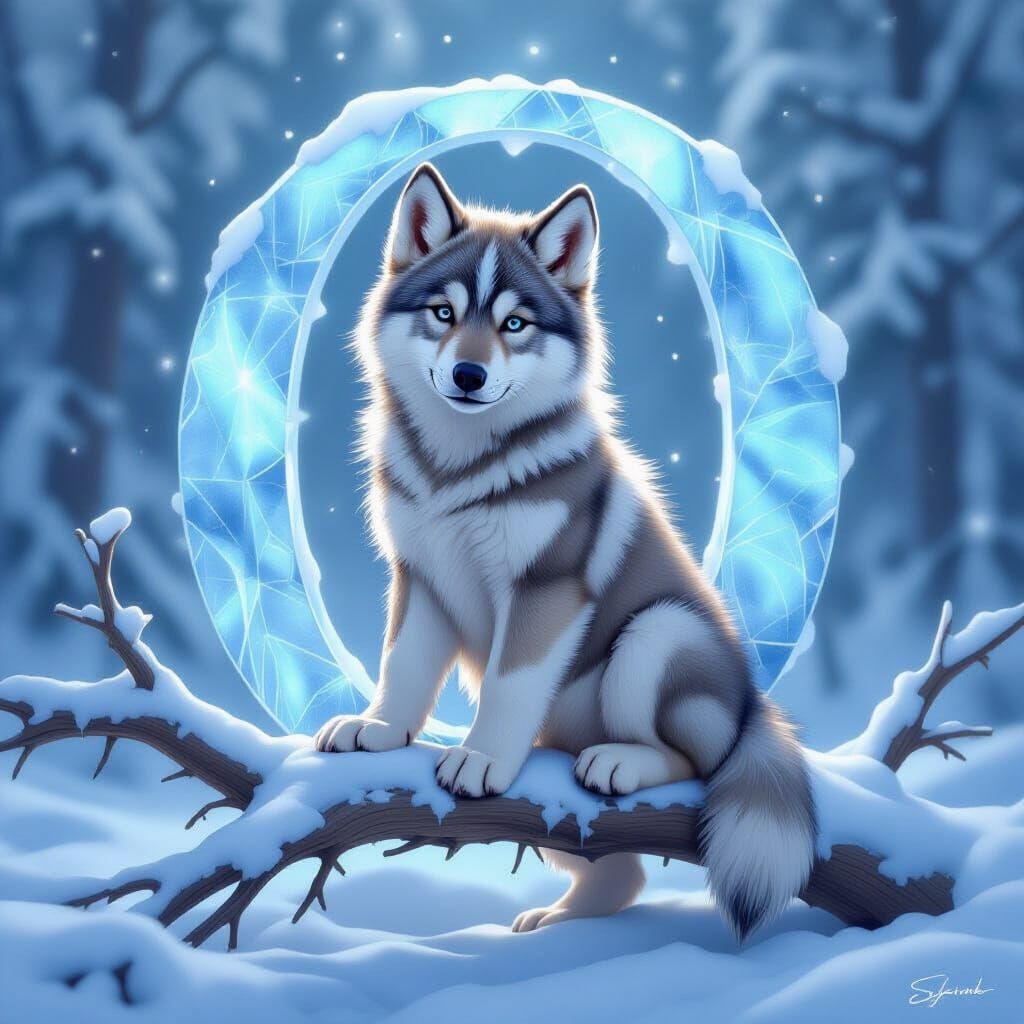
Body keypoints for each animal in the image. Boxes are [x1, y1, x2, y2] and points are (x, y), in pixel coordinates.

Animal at [315, 163, 817, 939]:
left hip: (658, 634)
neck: (459, 471)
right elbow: (403, 666)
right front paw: (379, 727)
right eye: (443, 313)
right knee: (623, 872)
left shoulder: (547, 588)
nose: (468, 376)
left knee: (696, 760)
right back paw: (565, 919)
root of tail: (752, 708)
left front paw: (482, 759)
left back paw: (621, 764)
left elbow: (507, 685)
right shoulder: (422, 577)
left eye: (515, 323)